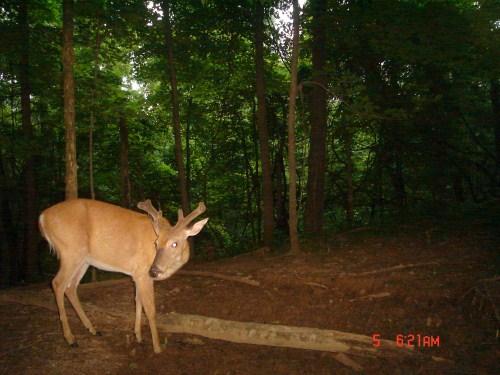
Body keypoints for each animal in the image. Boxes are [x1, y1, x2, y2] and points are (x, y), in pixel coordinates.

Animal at [38, 198, 208, 354]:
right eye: (156, 243)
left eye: (175, 243)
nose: (154, 271)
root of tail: (42, 217)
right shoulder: (143, 273)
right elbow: (150, 309)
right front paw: (157, 347)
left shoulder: (138, 275)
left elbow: (138, 301)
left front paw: (138, 336)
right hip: (70, 251)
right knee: (57, 283)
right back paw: (70, 339)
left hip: (83, 259)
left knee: (71, 287)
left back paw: (93, 329)